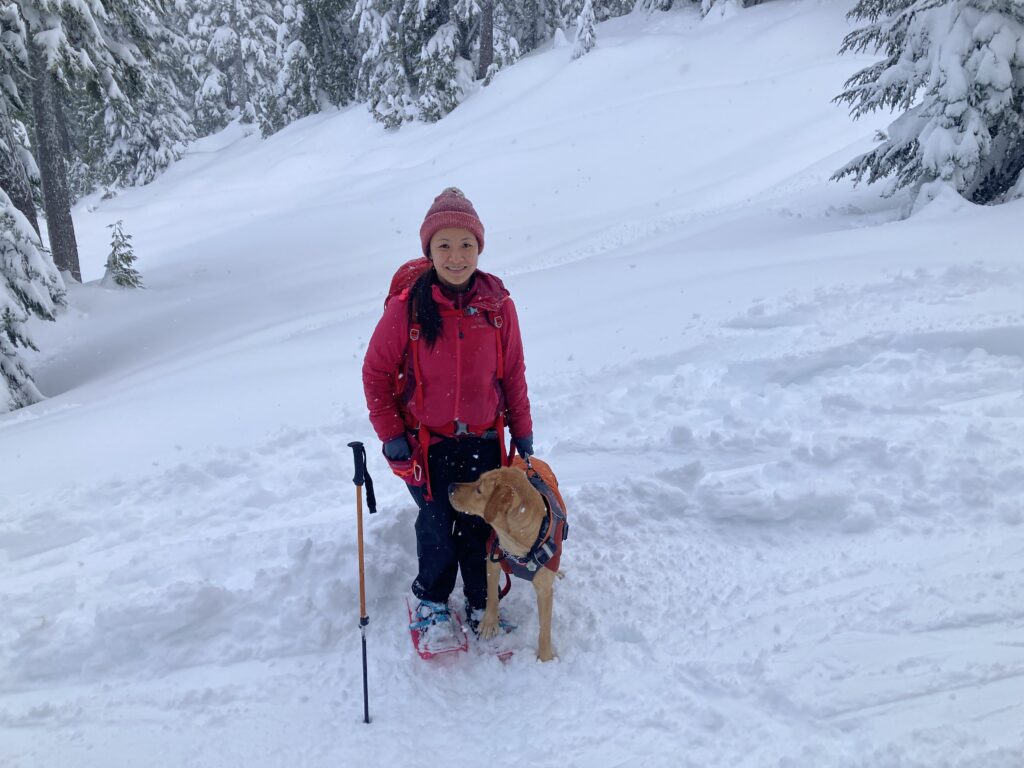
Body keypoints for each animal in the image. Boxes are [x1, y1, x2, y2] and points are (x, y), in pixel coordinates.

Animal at [448, 466, 561, 663]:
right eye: (476, 479)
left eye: (479, 490)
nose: (449, 487)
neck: (520, 546)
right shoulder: (492, 559)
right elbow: (493, 595)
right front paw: (489, 622)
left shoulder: (545, 590)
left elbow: (545, 629)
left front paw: (546, 658)